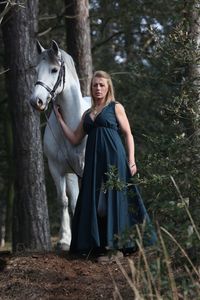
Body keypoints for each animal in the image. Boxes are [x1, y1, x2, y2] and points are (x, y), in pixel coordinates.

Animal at [30, 39, 91, 251]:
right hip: (70, 173)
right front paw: (64, 240)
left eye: (54, 70)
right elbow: (63, 201)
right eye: (36, 70)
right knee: (73, 200)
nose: (36, 101)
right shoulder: (56, 169)